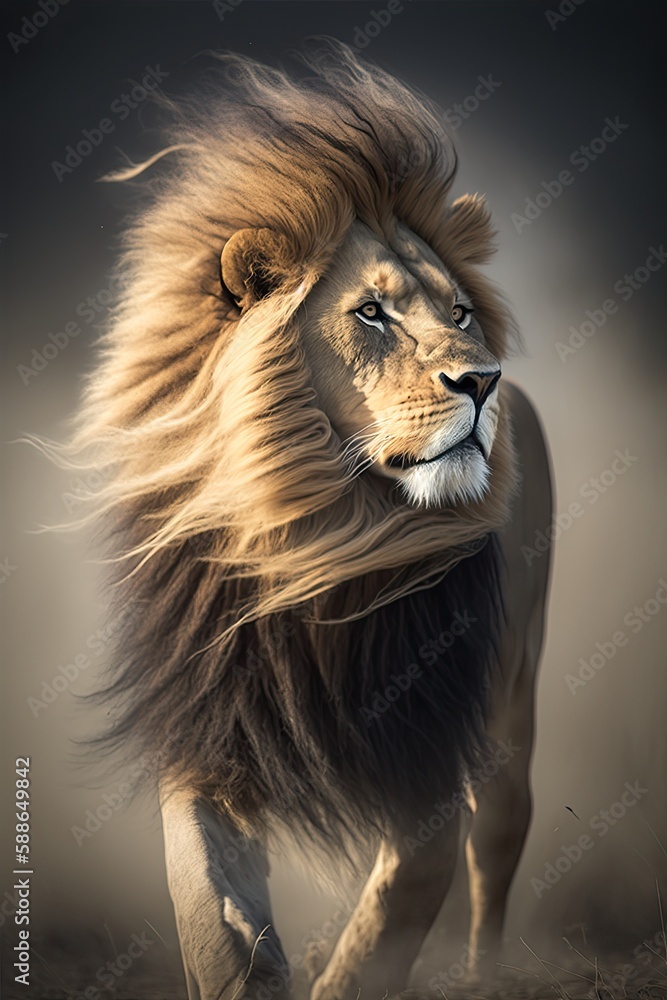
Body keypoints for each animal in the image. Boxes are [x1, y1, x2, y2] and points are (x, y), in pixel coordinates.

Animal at [63, 40, 552, 1000]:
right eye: (371, 312)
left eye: (459, 310)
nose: (483, 380)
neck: (327, 536)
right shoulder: (213, 739)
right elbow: (216, 914)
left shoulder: (427, 762)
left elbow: (391, 918)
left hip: (513, 709)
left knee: (499, 844)